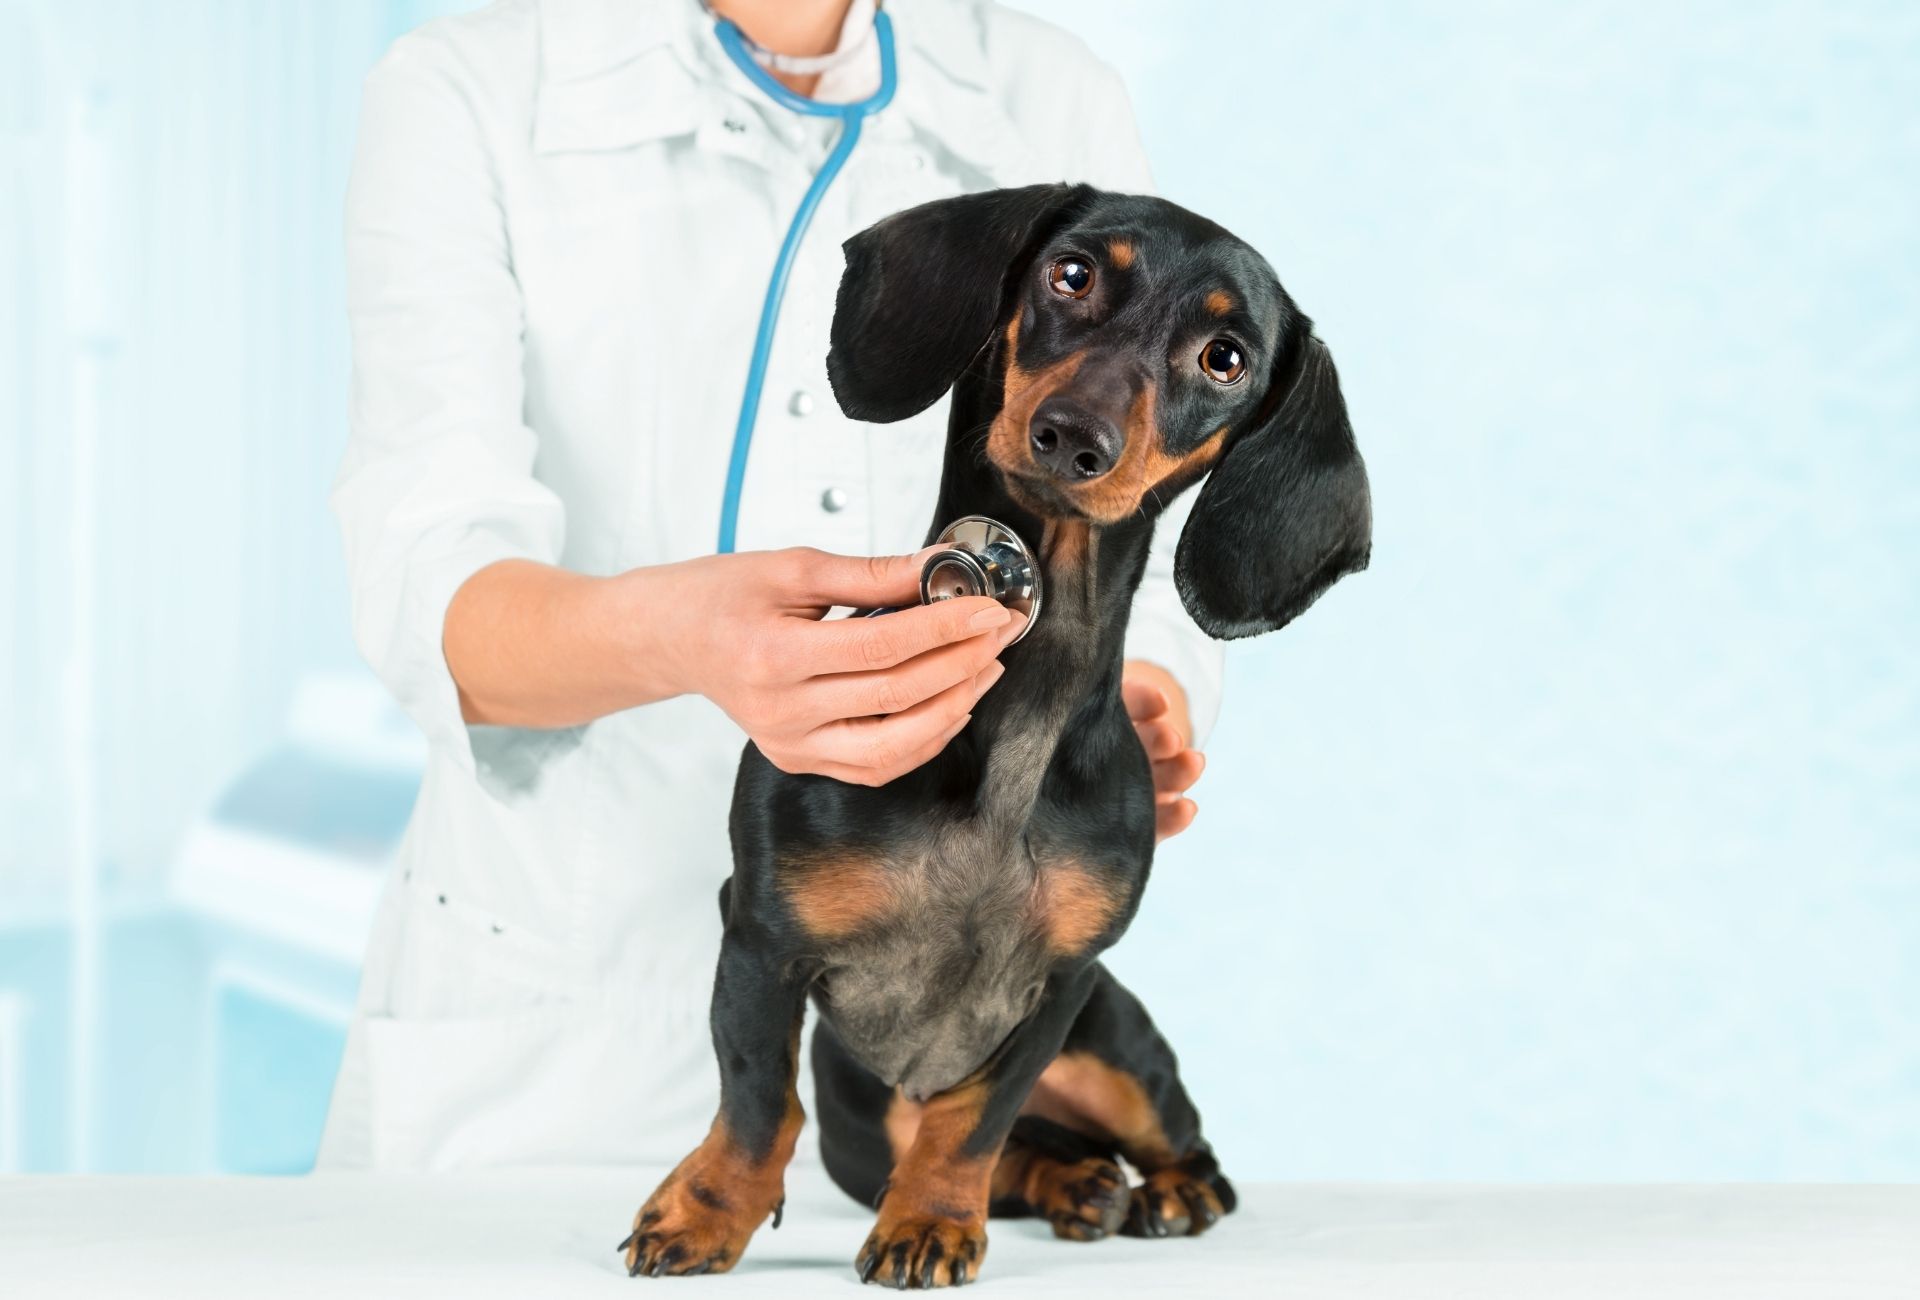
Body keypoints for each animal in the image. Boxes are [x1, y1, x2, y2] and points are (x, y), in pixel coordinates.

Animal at [622, 185, 1374, 1290]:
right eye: (1071, 274)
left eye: (1226, 357)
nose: (1073, 436)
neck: (1029, 699)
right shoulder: (760, 938)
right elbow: (759, 1099)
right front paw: (707, 1211)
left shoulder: (1059, 985)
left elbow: (973, 1122)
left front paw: (931, 1221)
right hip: (876, 1112)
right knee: (1024, 1152)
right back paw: (1077, 1184)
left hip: (1116, 1050)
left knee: (1174, 1146)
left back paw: (1167, 1191)